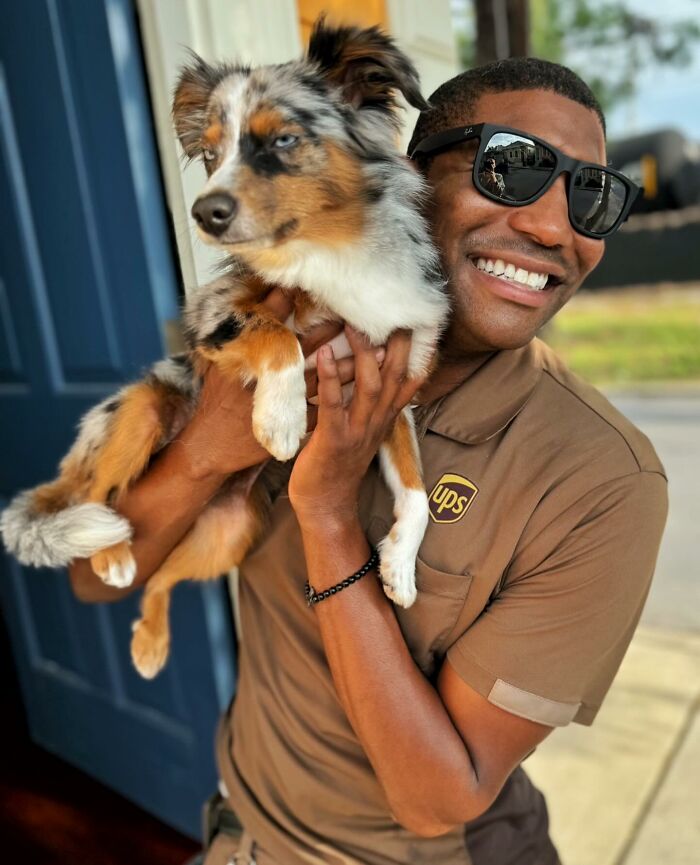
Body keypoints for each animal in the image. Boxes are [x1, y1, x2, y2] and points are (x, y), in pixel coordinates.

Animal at [1, 20, 448, 680]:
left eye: (283, 139)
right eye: (211, 154)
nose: (203, 213)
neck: (334, 253)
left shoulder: (394, 391)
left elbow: (416, 494)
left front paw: (398, 565)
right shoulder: (213, 321)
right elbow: (277, 333)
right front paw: (280, 419)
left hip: (229, 530)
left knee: (161, 577)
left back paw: (150, 641)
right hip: (139, 413)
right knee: (101, 498)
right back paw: (111, 554)